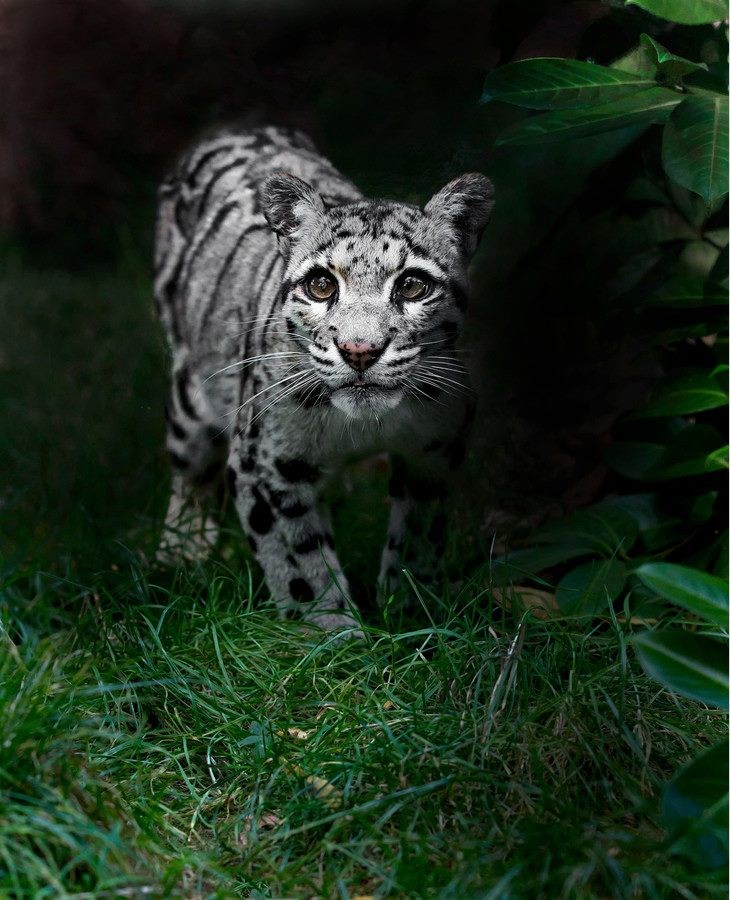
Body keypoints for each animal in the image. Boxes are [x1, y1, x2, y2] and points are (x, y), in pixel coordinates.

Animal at [154, 124, 494, 634]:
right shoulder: (266, 462)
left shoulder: (435, 449)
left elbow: (418, 536)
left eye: (413, 285)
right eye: (321, 284)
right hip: (191, 400)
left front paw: (410, 610)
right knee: (190, 473)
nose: (359, 350)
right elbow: (301, 562)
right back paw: (181, 555)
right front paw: (332, 634)